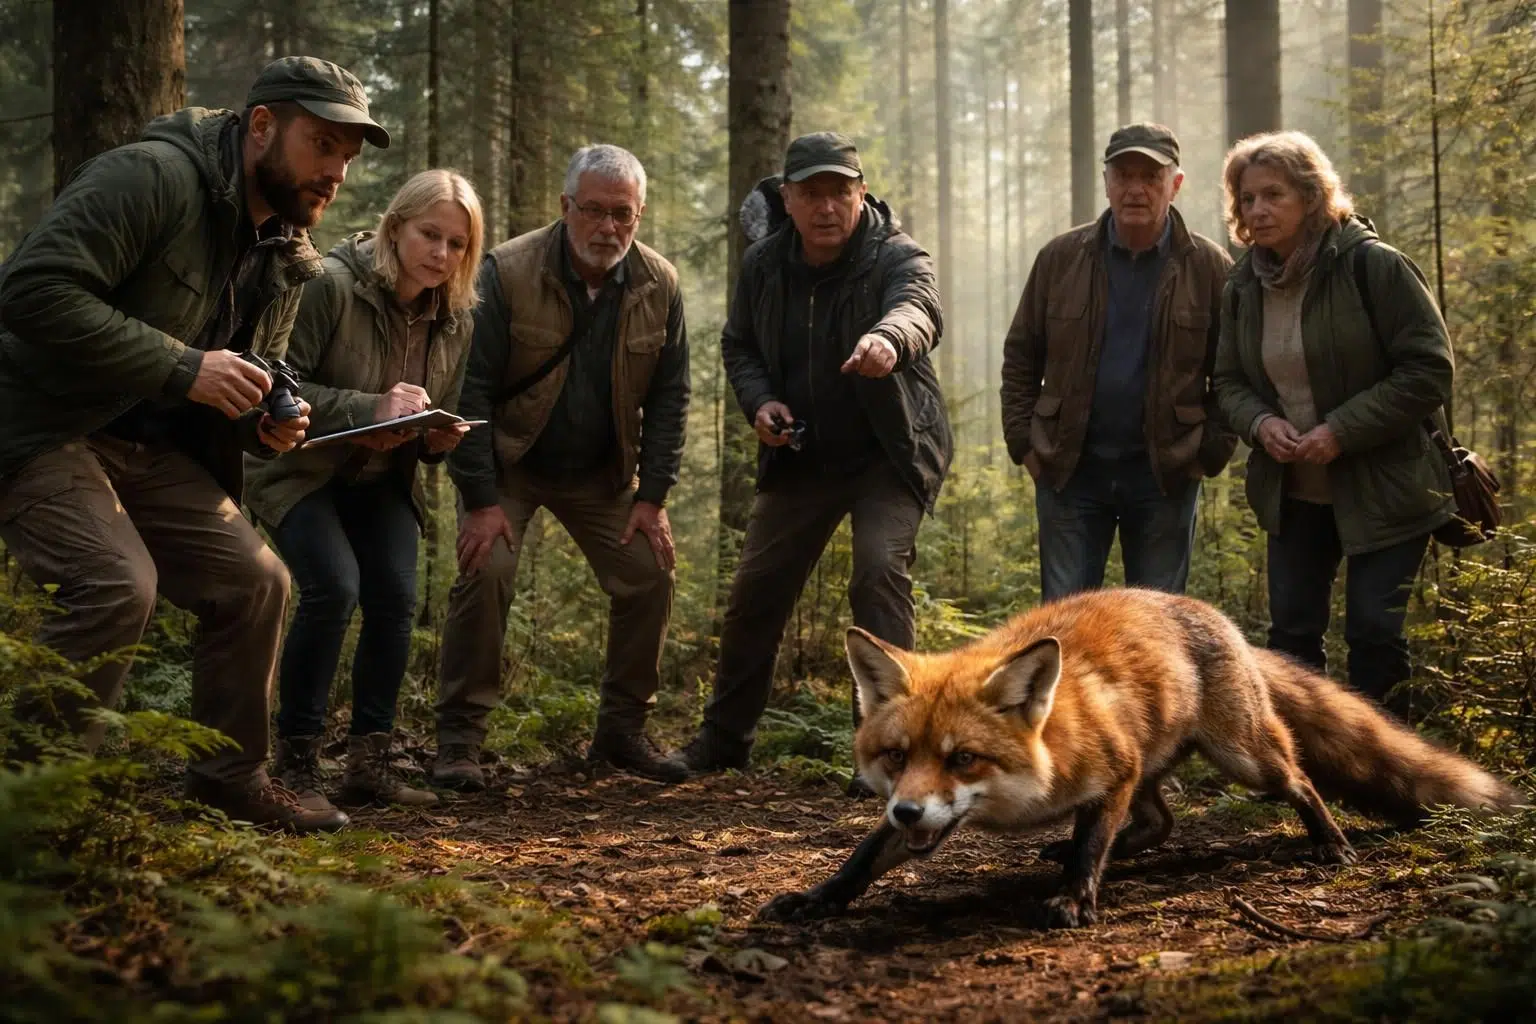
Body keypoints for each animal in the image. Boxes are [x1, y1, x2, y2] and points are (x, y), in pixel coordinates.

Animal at [760, 588, 1523, 929]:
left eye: (964, 759)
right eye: (895, 756)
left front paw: (1076, 895)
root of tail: (1221, 619)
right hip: (1161, 767)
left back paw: (1330, 842)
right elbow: (862, 856)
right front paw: (818, 897)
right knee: (1163, 822)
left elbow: (1091, 842)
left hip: (1245, 759)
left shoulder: (1111, 772)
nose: (910, 809)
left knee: (1299, 781)